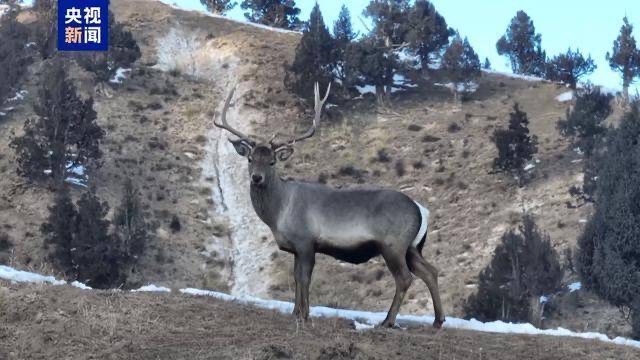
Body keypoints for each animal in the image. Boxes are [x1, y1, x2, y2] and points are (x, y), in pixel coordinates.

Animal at [215, 83, 444, 328]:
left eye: (272, 161)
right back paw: (438, 320)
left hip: (393, 244)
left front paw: (306, 316)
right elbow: (296, 277)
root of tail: (422, 210)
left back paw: (388, 321)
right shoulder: (296, 247)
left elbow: (305, 278)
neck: (278, 214)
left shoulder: (306, 241)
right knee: (430, 271)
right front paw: (295, 313)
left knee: (405, 278)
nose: (257, 178)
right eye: (250, 159)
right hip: (412, 246)